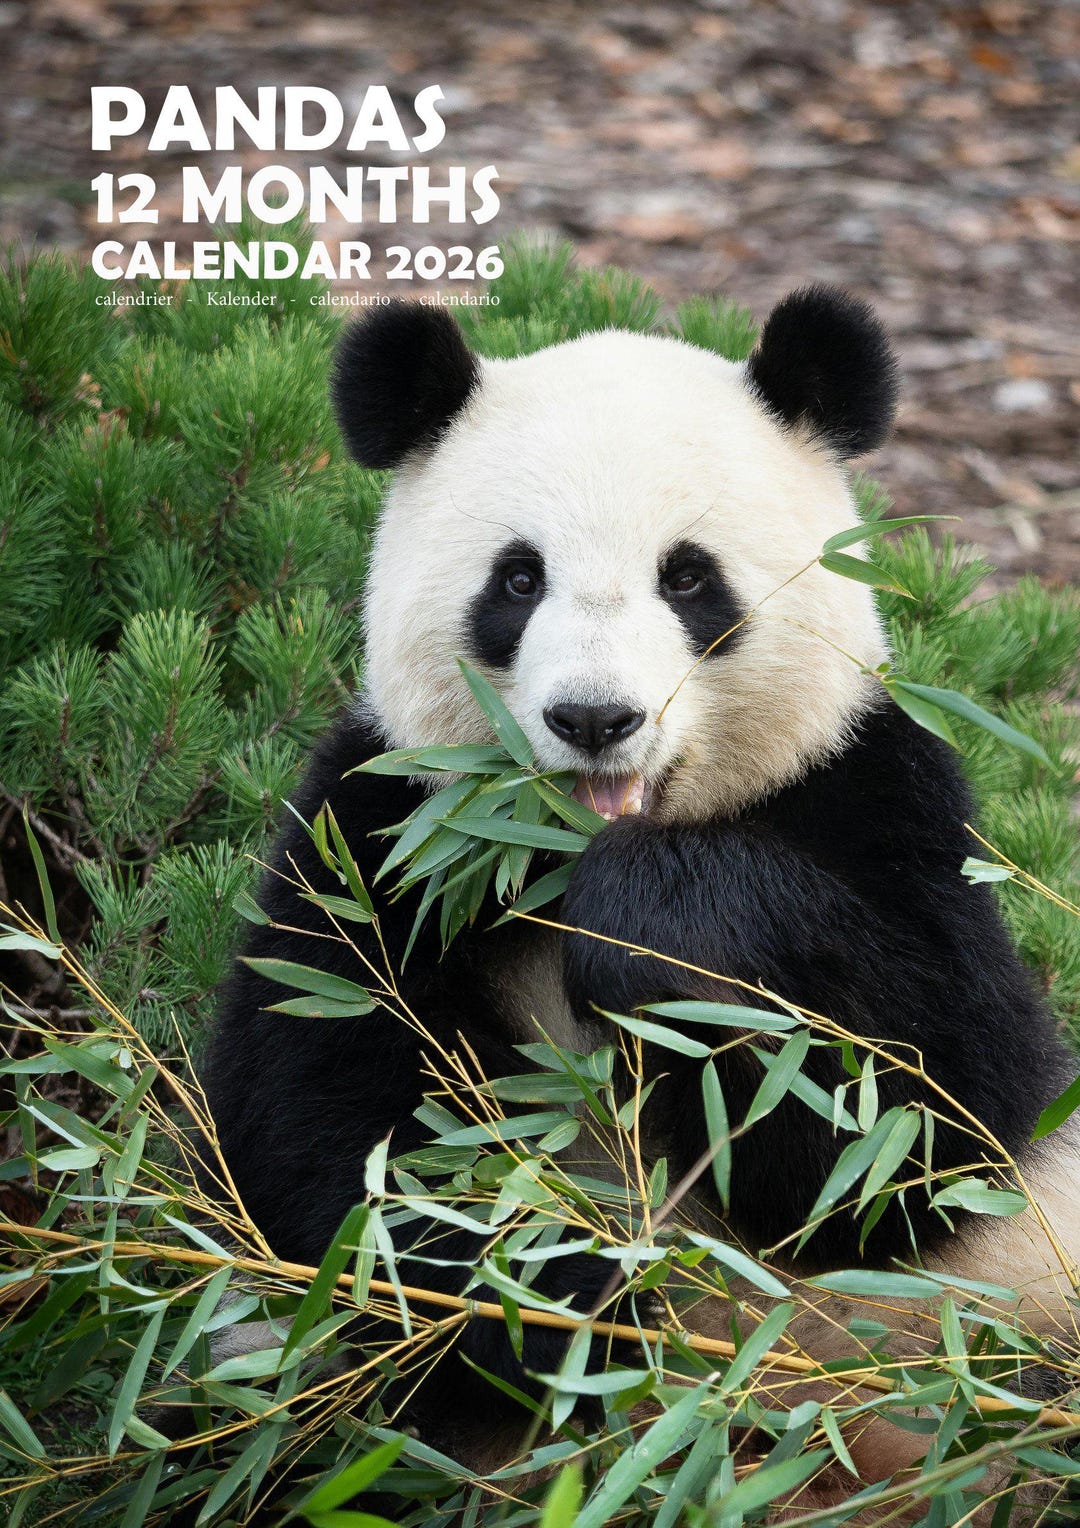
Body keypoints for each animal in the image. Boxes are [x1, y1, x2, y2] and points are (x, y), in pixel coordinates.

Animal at [203, 289, 1080, 1490]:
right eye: (518, 579)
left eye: (689, 577)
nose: (594, 717)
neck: (556, 852)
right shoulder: (377, 835)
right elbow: (327, 1125)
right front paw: (555, 1300)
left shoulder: (875, 791)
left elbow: (934, 1108)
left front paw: (645, 929)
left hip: (1011, 1294)